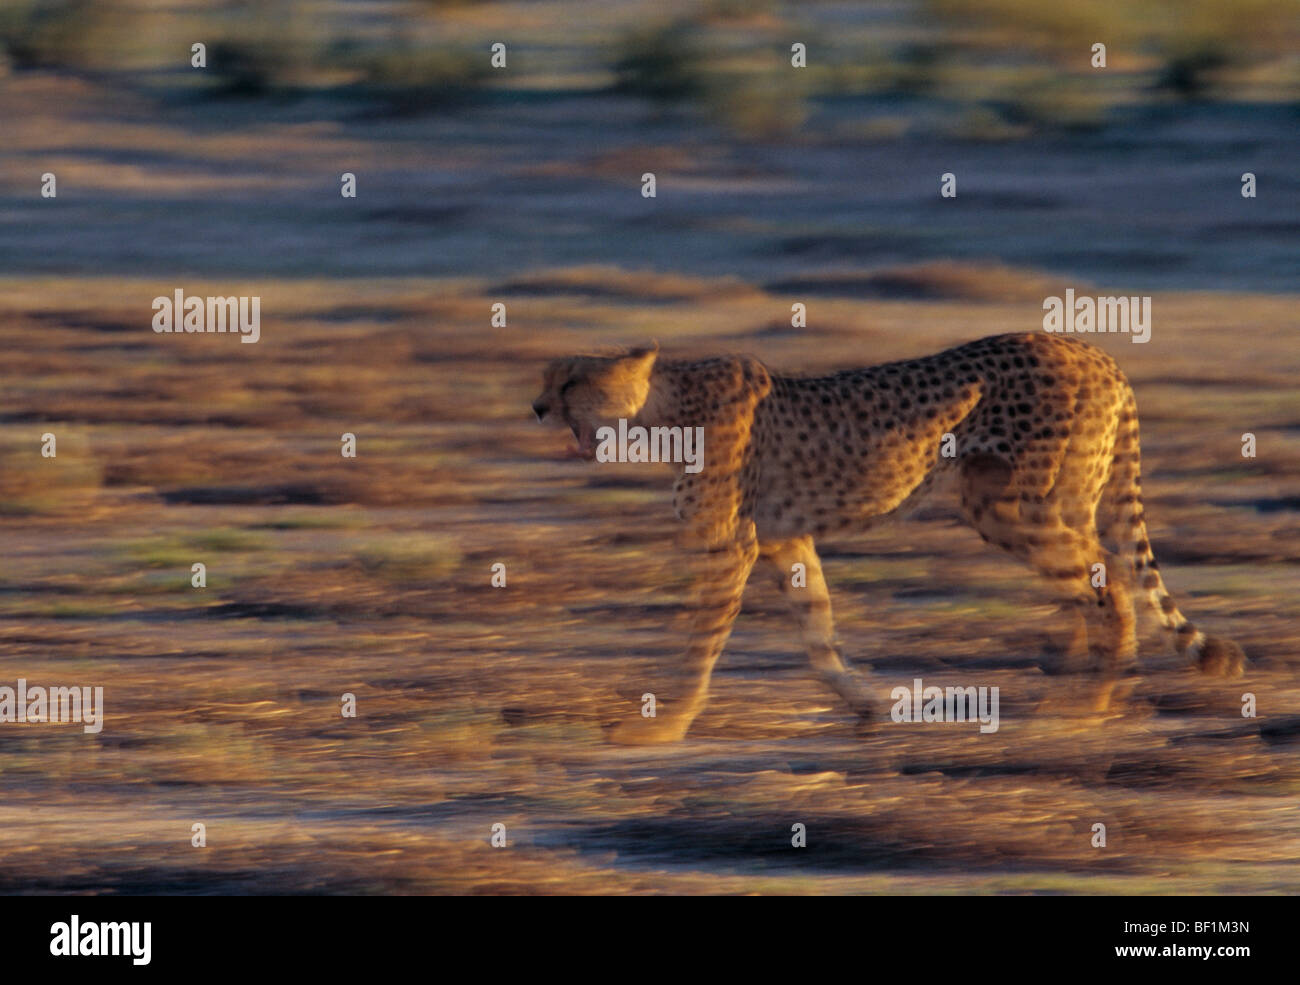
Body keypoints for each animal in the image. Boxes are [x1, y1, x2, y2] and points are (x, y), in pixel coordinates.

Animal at [530, 335, 1248, 743]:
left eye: (572, 381)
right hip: (1006, 505)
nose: (536, 409)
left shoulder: (730, 547)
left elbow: (699, 647)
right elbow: (819, 634)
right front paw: (870, 704)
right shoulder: (786, 543)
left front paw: (664, 725)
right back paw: (1085, 690)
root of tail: (1094, 352)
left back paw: (1089, 704)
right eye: (544, 379)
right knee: (1101, 582)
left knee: (1111, 586)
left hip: (1028, 505)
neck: (667, 409)